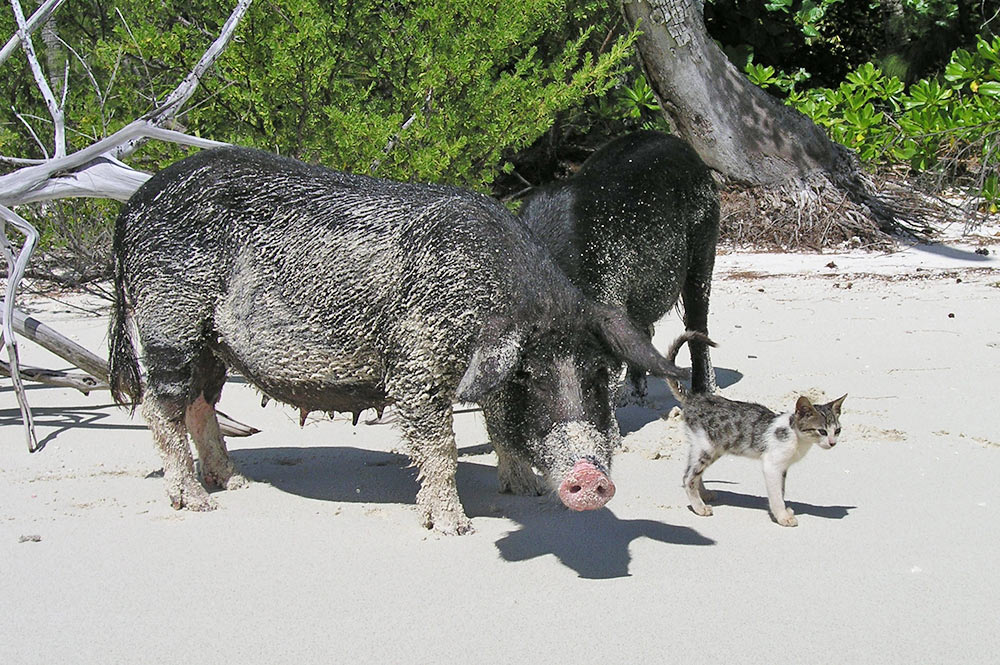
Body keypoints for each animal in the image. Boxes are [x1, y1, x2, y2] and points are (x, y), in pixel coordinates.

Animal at [109, 145, 688, 536]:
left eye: (599, 374)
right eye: (530, 376)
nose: (589, 479)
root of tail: (133, 206)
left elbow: (497, 424)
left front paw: (522, 491)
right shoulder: (419, 362)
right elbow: (439, 445)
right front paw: (455, 528)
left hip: (211, 341)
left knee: (201, 403)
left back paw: (234, 483)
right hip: (168, 318)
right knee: (160, 407)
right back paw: (196, 502)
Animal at [484, 132, 720, 500]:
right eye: (520, 377)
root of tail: (685, 148)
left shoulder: (608, 295)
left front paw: (615, 439)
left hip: (704, 242)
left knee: (698, 323)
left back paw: (702, 395)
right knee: (645, 332)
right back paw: (631, 398)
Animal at [664, 332, 844, 528]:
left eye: (837, 431)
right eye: (822, 431)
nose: (833, 443)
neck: (796, 437)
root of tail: (694, 398)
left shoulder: (783, 468)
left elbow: (781, 491)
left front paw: (785, 512)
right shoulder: (772, 465)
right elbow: (776, 495)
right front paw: (782, 516)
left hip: (710, 448)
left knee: (694, 473)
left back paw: (704, 494)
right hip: (707, 448)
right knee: (687, 478)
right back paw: (699, 507)